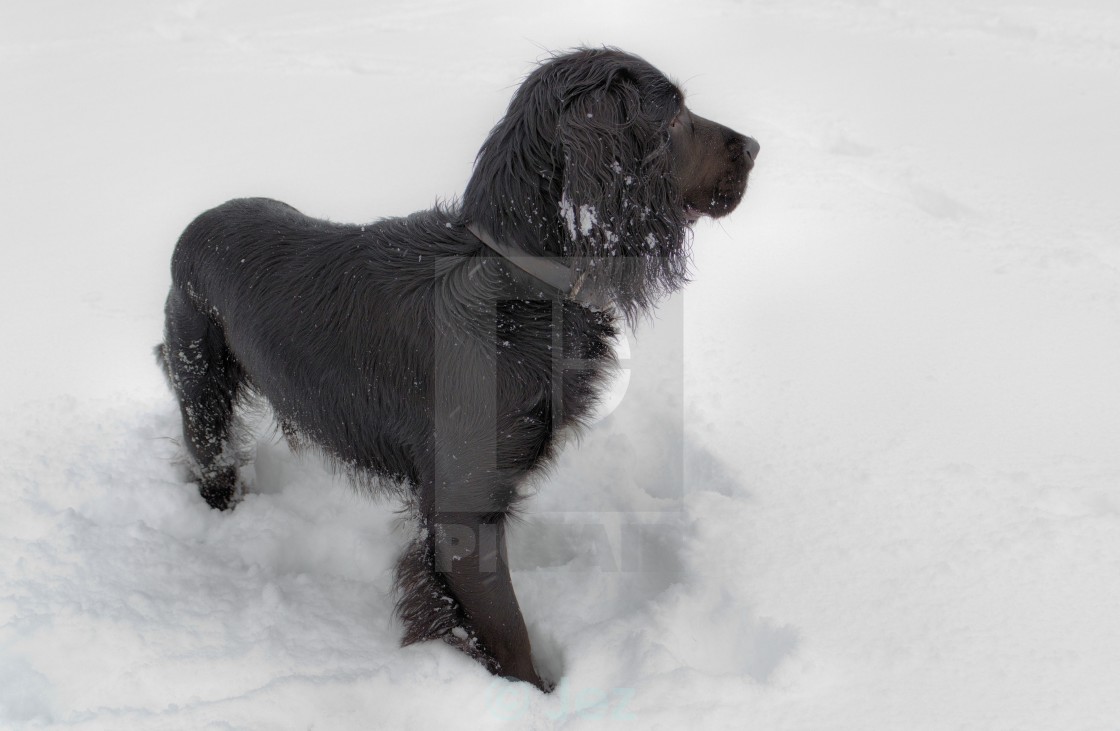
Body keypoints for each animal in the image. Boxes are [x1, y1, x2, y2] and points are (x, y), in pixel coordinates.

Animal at [157, 47, 757, 689]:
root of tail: (196, 225)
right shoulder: (465, 515)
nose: (754, 146)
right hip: (202, 387)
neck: (516, 281)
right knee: (210, 457)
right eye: (674, 116)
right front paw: (535, 694)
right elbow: (509, 635)